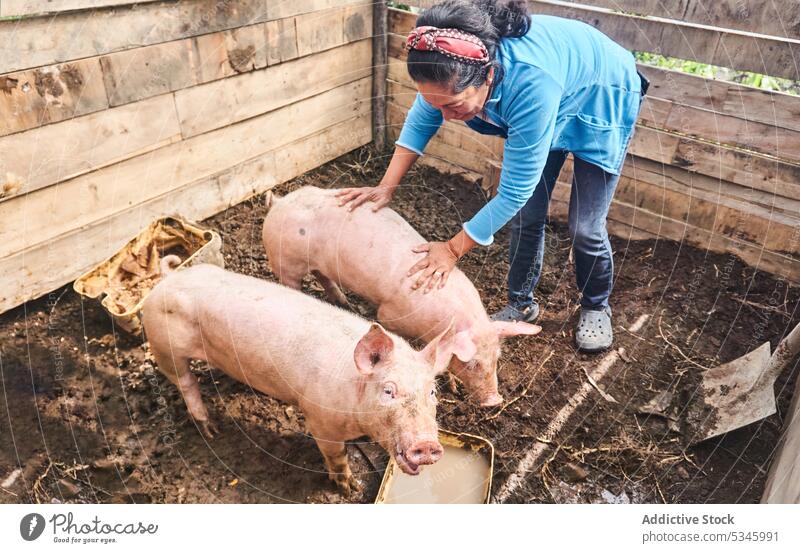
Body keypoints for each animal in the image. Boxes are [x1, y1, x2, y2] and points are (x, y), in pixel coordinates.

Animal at [141, 256, 460, 494]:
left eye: (432, 391)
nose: (427, 445)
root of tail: (167, 279)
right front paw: (350, 489)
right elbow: (336, 456)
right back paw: (211, 430)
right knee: (185, 383)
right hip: (163, 345)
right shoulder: (320, 421)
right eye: (388, 390)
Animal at [266, 188, 540, 408]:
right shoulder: (389, 315)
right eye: (472, 363)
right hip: (286, 264)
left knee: (323, 276)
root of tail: (279, 202)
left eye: (496, 359)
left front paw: (452, 385)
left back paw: (344, 302)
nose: (494, 401)